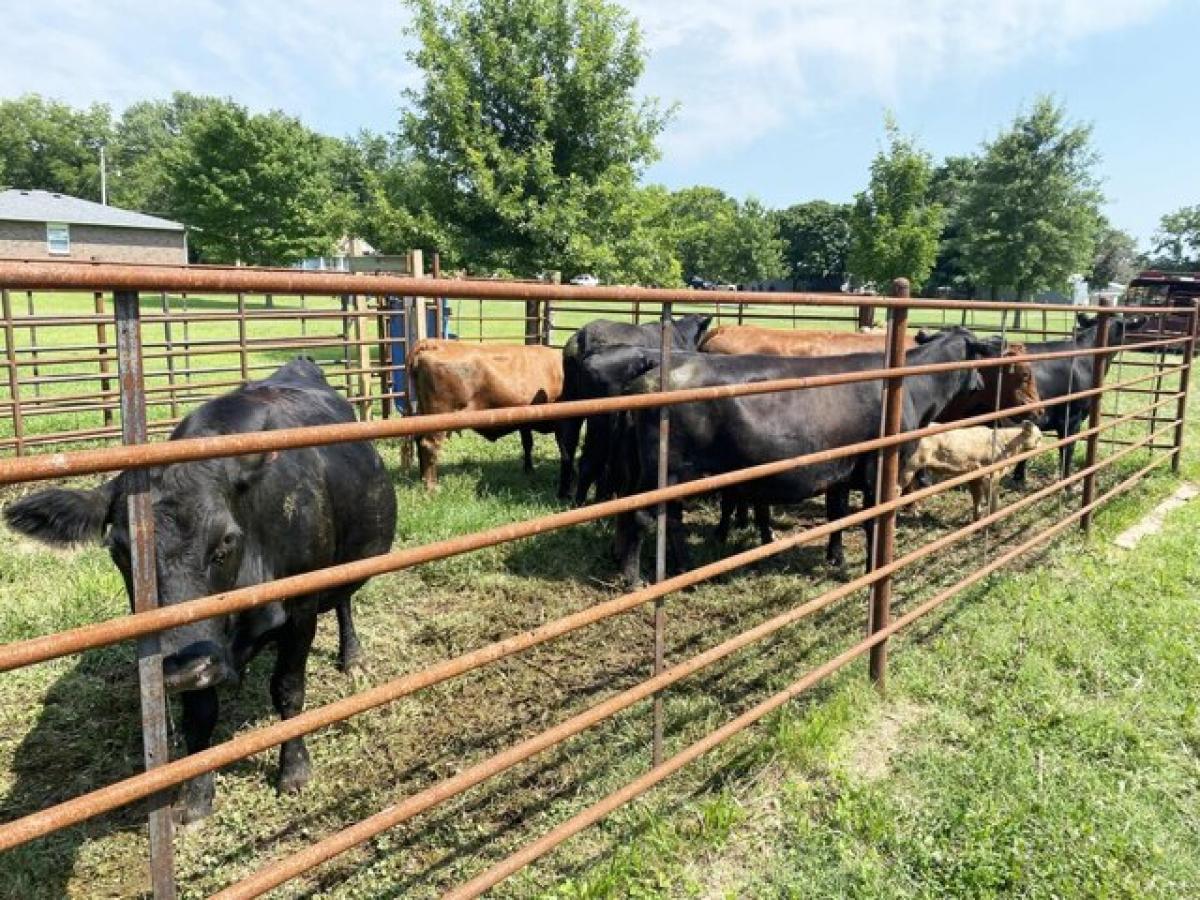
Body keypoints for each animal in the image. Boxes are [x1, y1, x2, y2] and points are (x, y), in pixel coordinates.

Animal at [3, 360, 398, 825]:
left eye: (226, 540)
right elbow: (200, 715)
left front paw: (294, 771)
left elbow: (288, 689)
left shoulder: (301, 607)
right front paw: (196, 796)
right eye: (119, 550)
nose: (184, 672)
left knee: (344, 603)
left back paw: (352, 657)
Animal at [405, 340, 564, 494]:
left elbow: (527, 444)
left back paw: (422, 479)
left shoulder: (525, 422)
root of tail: (431, 343)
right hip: (440, 418)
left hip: (423, 415)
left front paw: (529, 470)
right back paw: (432, 487)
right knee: (429, 445)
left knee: (419, 440)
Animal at [554, 314, 705, 504]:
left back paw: (566, 493)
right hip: (604, 419)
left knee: (569, 445)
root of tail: (584, 334)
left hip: (573, 400)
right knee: (594, 460)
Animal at [609, 328, 993, 585]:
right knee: (643, 516)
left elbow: (836, 513)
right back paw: (634, 579)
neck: (909, 389)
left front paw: (835, 557)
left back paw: (682, 567)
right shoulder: (878, 469)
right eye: (975, 356)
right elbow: (870, 519)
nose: (980, 383)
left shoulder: (840, 470)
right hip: (667, 471)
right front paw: (871, 567)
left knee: (664, 517)